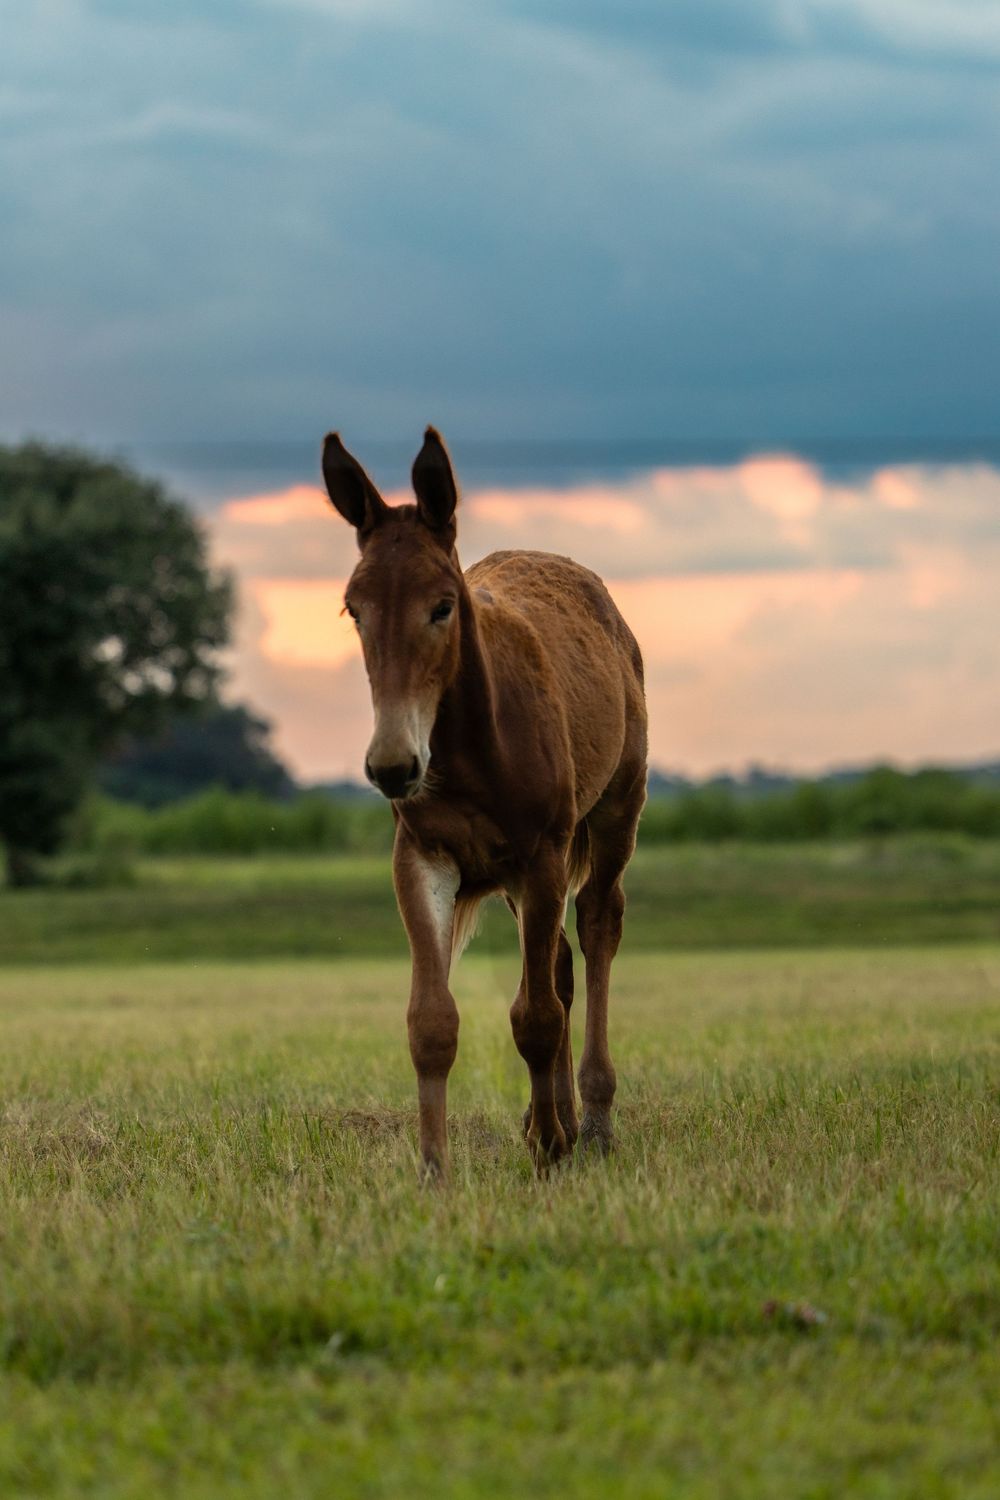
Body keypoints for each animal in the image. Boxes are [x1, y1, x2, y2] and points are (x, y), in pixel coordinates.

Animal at [322, 427, 647, 1176]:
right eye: (355, 608)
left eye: (442, 605)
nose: (392, 765)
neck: (473, 745)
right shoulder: (425, 856)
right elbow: (432, 1022)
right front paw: (435, 1170)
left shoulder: (544, 851)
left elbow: (535, 1016)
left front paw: (553, 1148)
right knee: (559, 963)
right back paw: (553, 1117)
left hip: (614, 811)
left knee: (597, 927)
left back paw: (593, 1121)